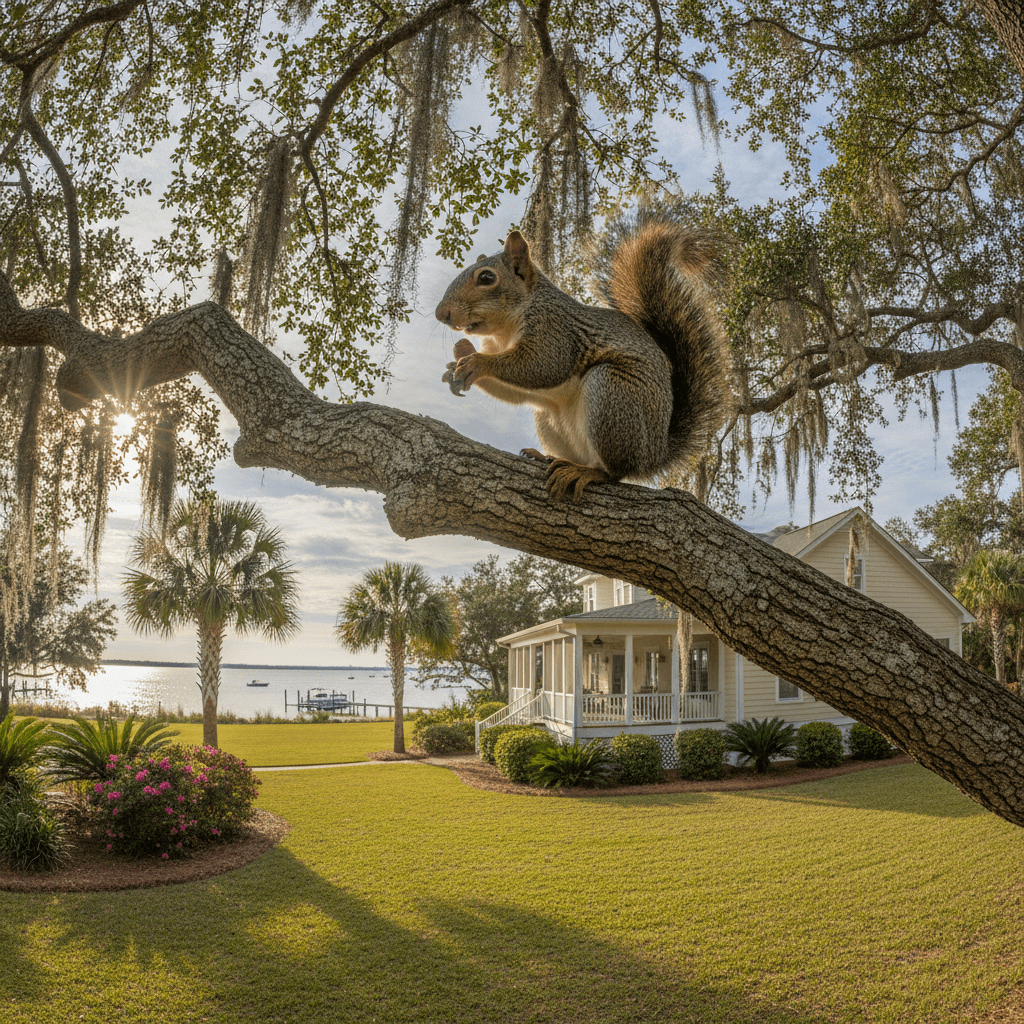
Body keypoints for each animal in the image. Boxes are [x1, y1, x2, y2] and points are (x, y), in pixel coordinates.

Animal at [435, 198, 732, 501]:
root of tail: (654, 453)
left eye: (486, 277)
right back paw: (547, 457)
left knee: (615, 471)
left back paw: (586, 472)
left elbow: (541, 365)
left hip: (613, 395)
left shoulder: (556, 331)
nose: (441, 313)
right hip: (549, 419)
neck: (503, 332)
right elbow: (515, 390)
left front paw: (476, 362)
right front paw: (456, 364)